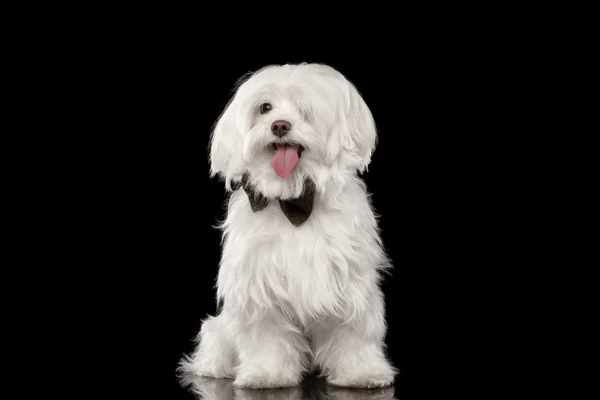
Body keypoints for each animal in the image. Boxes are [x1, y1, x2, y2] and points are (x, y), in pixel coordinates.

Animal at [180, 62, 396, 388]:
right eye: (264, 108)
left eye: (305, 109)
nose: (279, 125)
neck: (293, 200)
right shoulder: (260, 285)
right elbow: (267, 334)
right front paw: (267, 373)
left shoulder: (350, 284)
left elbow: (352, 330)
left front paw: (360, 372)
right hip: (218, 328)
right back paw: (214, 368)